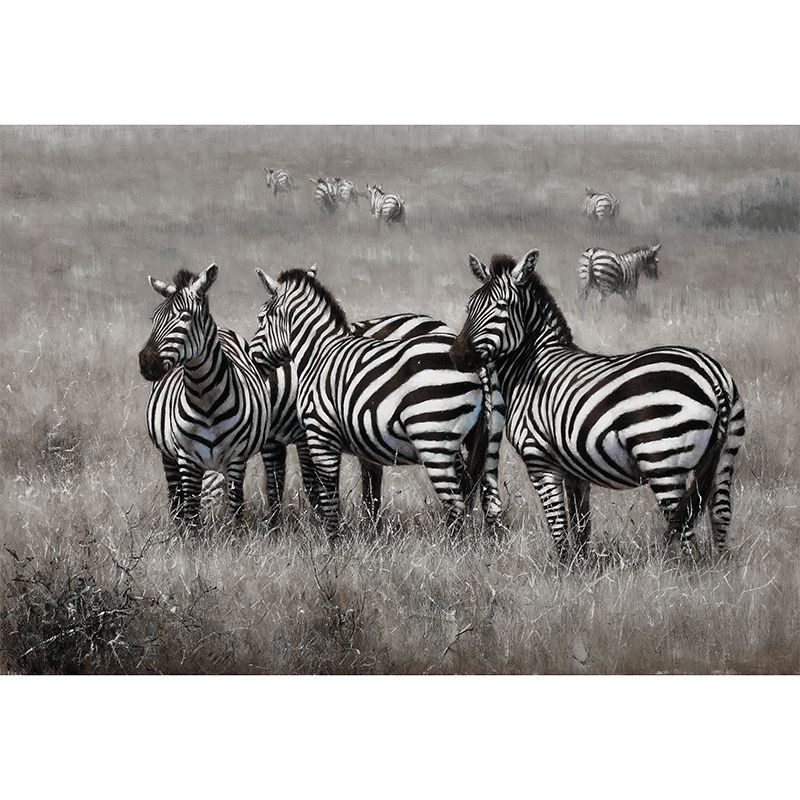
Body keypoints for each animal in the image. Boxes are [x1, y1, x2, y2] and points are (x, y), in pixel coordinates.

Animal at [138, 264, 270, 524]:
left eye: (185, 317)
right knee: (176, 498)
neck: (204, 396)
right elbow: (190, 512)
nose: (146, 363)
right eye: (153, 319)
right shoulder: (187, 459)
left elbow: (236, 509)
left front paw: (233, 534)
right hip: (169, 457)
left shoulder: (236, 459)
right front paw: (188, 535)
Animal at [250, 265, 505, 539]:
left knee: (457, 503)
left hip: (433, 437)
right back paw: (489, 544)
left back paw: (451, 547)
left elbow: (321, 494)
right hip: (484, 438)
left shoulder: (317, 434)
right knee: (487, 497)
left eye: (260, 319)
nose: (252, 358)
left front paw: (330, 541)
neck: (319, 354)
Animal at [450, 250, 745, 561]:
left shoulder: (540, 460)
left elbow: (558, 525)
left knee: (684, 526)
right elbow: (581, 525)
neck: (529, 369)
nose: (457, 356)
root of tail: (713, 375)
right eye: (470, 306)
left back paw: (686, 570)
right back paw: (718, 568)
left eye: (502, 307)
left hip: (663, 459)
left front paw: (562, 567)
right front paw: (580, 567)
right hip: (725, 456)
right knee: (720, 514)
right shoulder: (574, 468)